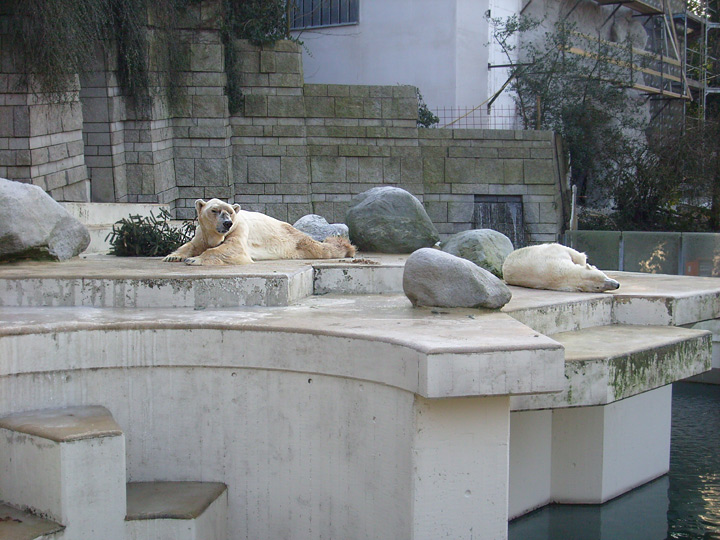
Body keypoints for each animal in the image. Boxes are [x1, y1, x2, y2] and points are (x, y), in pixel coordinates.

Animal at [163, 198, 354, 266]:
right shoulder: (202, 232)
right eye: (214, 210)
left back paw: (346, 248)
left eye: (230, 212)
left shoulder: (239, 228)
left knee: (320, 248)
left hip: (294, 241)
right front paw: (173, 256)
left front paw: (194, 259)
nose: (227, 223)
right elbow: (191, 245)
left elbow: (234, 249)